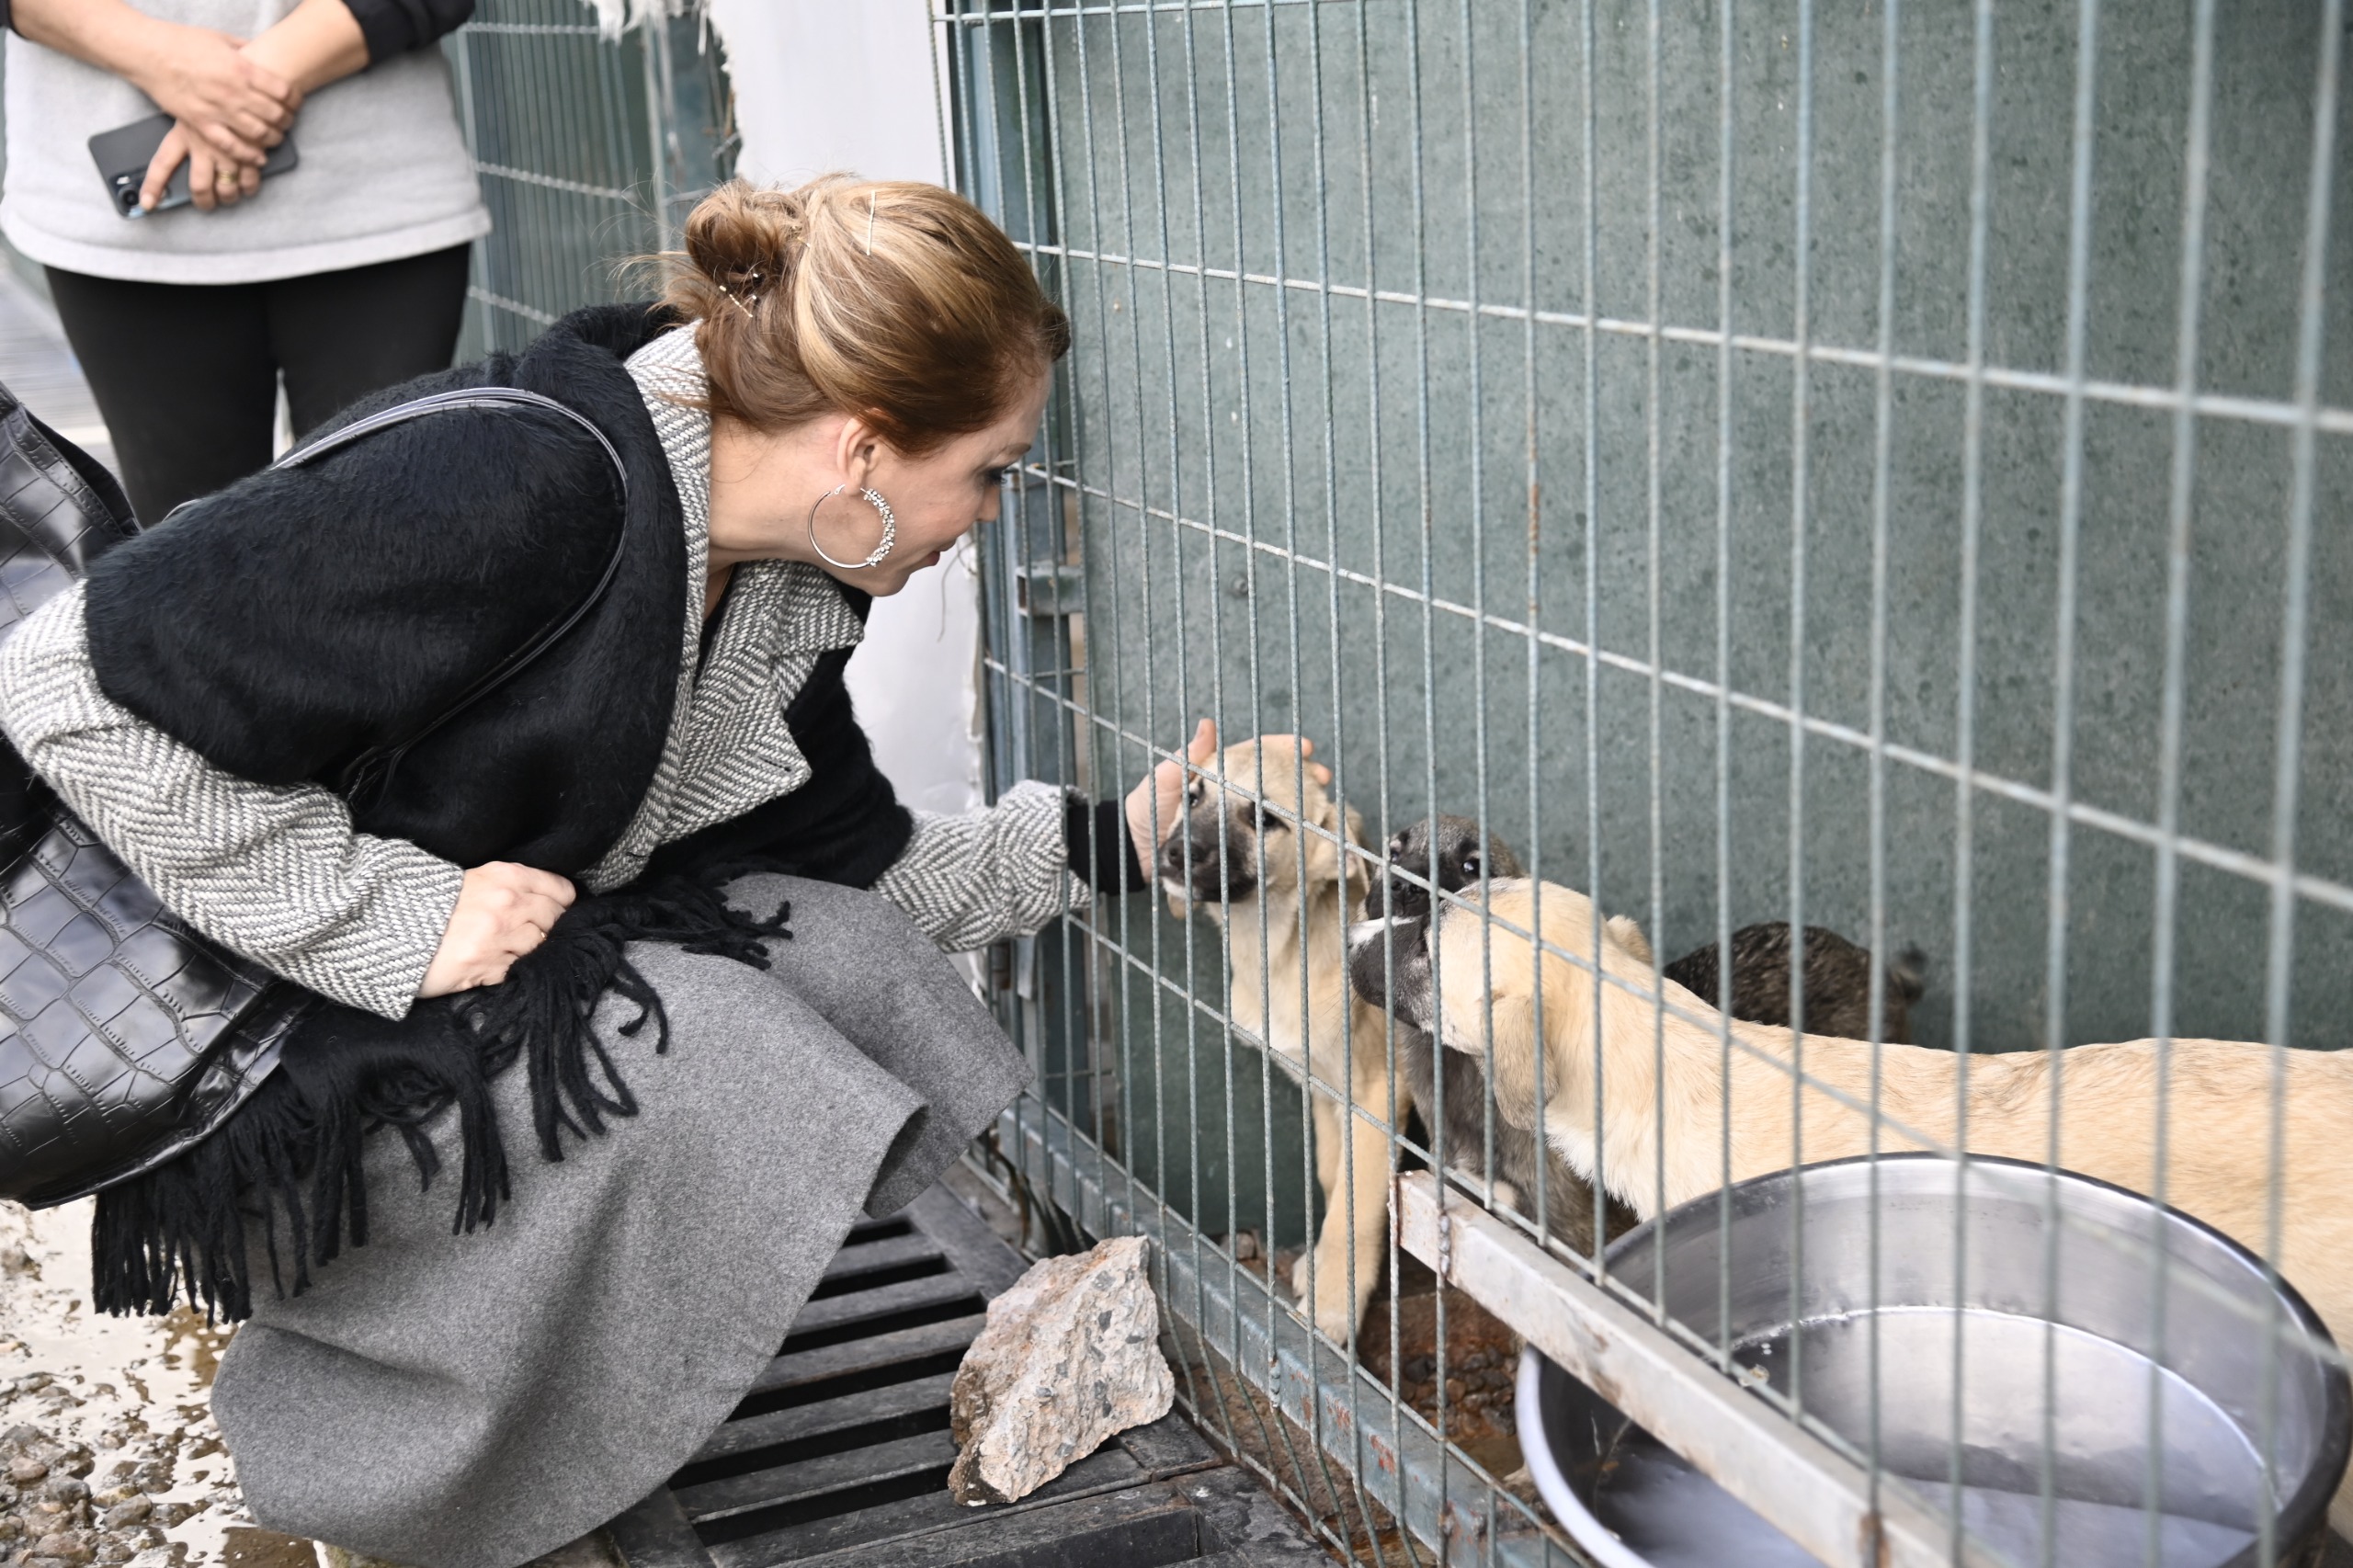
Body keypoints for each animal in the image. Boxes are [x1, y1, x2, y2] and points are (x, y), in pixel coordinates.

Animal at [1153, 739, 1392, 1336]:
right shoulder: (1324, 1092)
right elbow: (1333, 1179)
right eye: (1193, 795)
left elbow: (1356, 1206)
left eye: (1263, 819)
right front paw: (1319, 1264)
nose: (1176, 852)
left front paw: (1333, 1307)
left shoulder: (1376, 1095)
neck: (1279, 956)